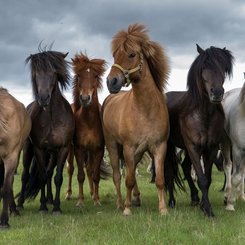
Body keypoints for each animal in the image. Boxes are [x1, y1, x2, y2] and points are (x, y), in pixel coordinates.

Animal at [16, 48, 74, 213]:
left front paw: (56, 207)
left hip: (52, 154)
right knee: (25, 175)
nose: (43, 98)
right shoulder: (39, 149)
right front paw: (42, 207)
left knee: (49, 174)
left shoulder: (63, 149)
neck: (52, 118)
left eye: (54, 72)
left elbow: (57, 178)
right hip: (27, 150)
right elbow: (41, 176)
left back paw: (50, 199)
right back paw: (20, 203)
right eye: (36, 73)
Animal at [64, 52, 108, 207]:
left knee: (89, 170)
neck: (89, 122)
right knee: (71, 169)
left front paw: (97, 200)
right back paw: (69, 194)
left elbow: (95, 175)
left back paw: (92, 193)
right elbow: (80, 175)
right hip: (70, 150)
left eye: (95, 76)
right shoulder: (79, 149)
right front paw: (80, 201)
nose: (84, 98)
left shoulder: (98, 150)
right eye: (78, 76)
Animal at [102, 22, 169, 214]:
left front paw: (163, 209)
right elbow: (128, 180)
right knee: (117, 175)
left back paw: (136, 198)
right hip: (113, 146)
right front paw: (127, 209)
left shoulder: (159, 147)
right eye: (114, 55)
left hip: (137, 152)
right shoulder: (128, 148)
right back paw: (120, 203)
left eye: (131, 54)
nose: (111, 82)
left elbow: (159, 179)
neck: (145, 111)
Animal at [165, 44, 234, 216]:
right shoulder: (193, 147)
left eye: (223, 67)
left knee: (185, 167)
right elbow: (202, 178)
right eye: (204, 67)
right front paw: (208, 210)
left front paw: (203, 204)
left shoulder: (211, 148)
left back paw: (194, 198)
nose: (217, 93)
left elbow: (207, 179)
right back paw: (171, 202)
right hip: (170, 146)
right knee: (169, 172)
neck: (203, 114)